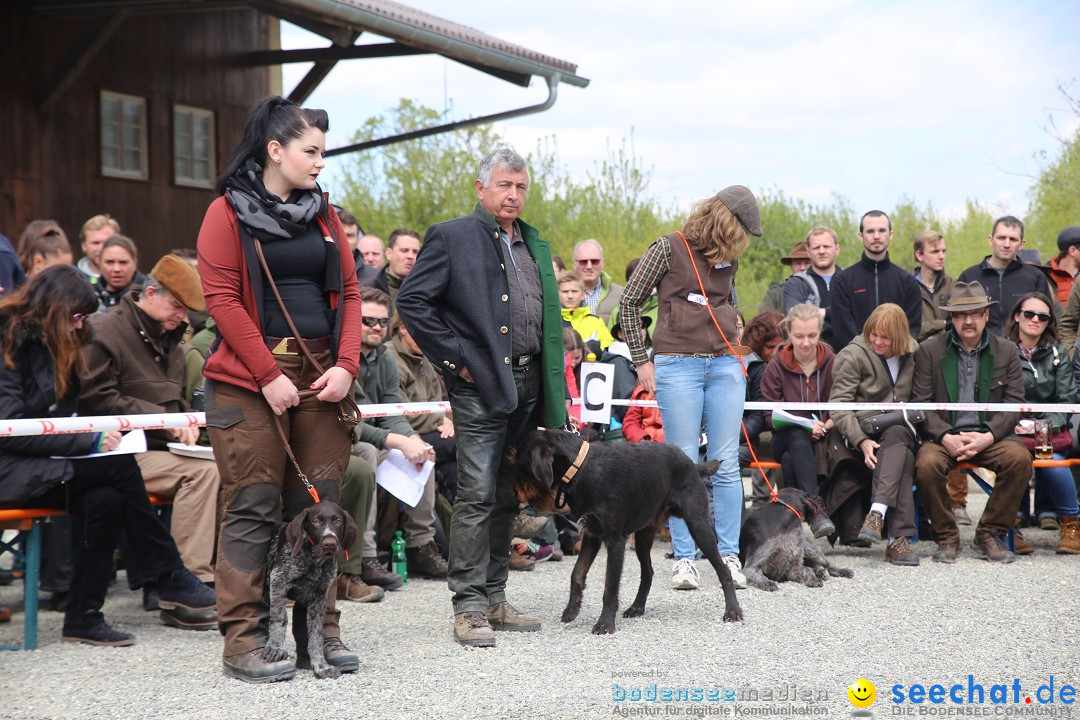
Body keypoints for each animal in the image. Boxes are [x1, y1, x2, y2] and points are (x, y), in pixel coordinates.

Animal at [262, 500, 356, 682]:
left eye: (338, 521)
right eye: (316, 521)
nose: (329, 543)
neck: (315, 562)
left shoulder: (319, 597)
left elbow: (315, 635)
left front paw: (321, 666)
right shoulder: (278, 580)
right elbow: (280, 617)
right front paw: (276, 647)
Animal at [514, 427, 743, 634]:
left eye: (521, 466)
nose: (516, 501)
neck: (581, 468)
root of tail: (693, 465)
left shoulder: (615, 540)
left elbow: (610, 586)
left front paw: (605, 623)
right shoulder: (592, 535)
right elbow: (577, 573)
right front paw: (572, 609)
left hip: (699, 526)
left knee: (723, 570)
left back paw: (733, 611)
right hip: (643, 536)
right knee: (648, 573)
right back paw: (637, 607)